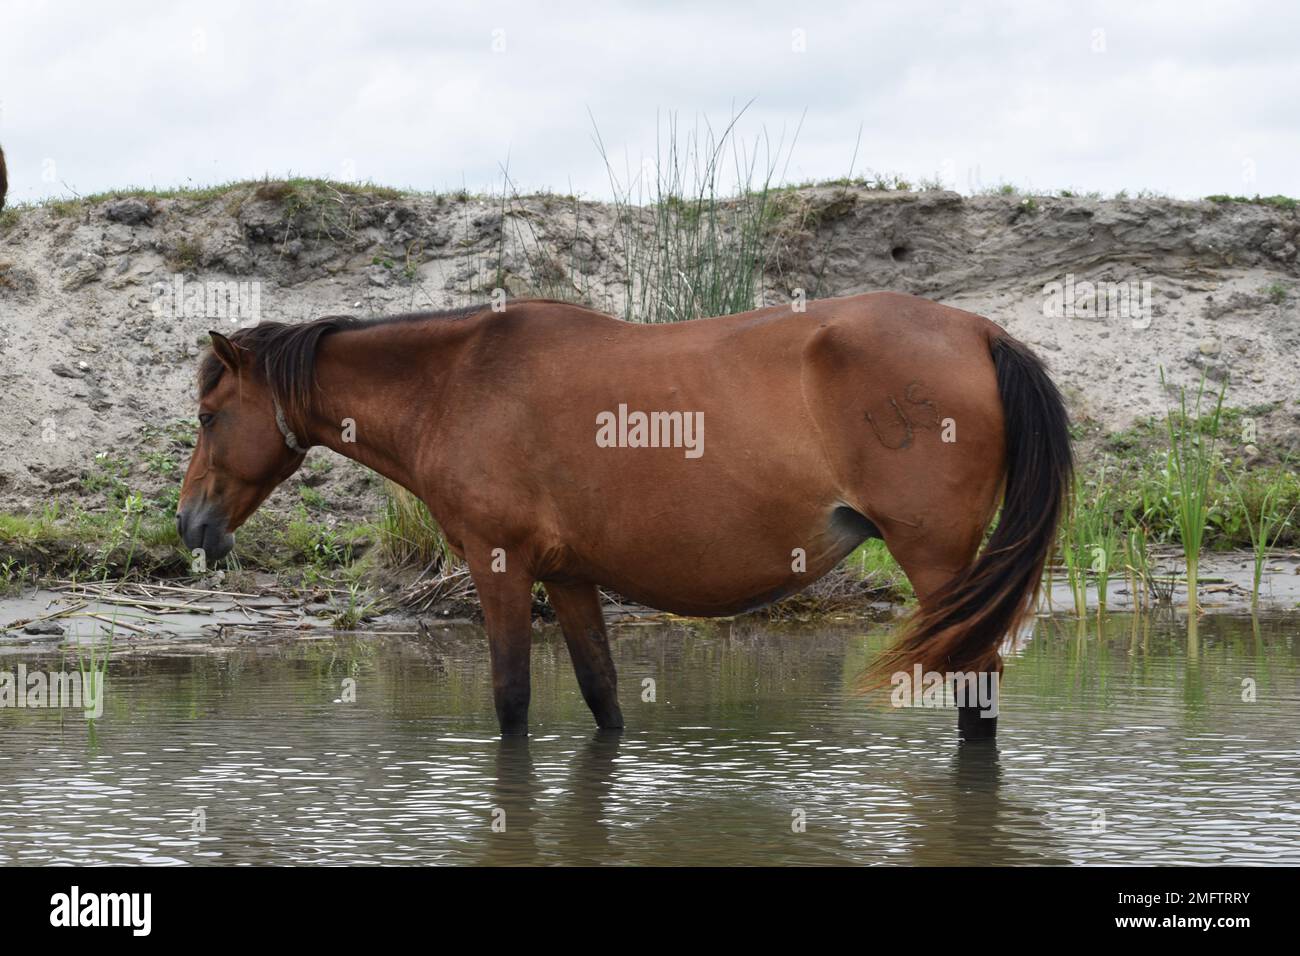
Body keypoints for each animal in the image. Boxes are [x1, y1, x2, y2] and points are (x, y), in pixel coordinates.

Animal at [178, 293, 1072, 738]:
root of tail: (980, 331)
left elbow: (511, 699)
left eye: (209, 416)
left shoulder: (501, 566)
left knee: (976, 686)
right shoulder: (571, 578)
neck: (457, 381)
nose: (190, 526)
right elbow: (601, 696)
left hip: (937, 559)